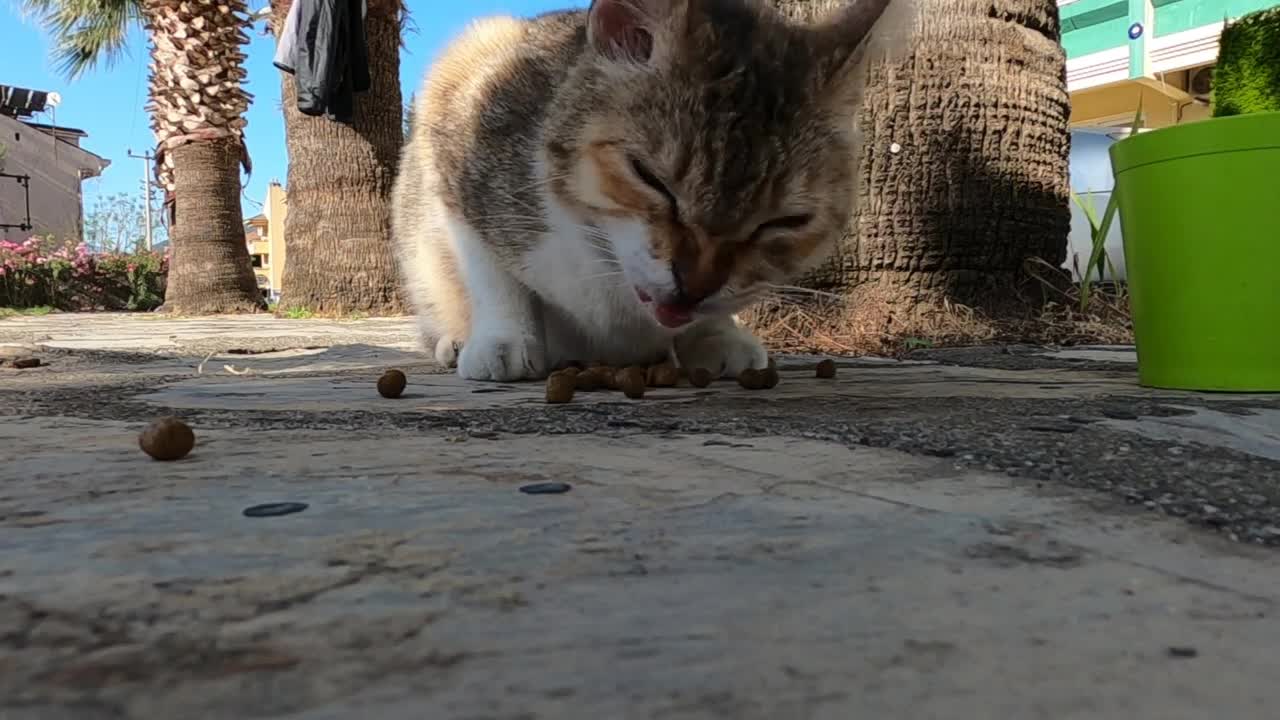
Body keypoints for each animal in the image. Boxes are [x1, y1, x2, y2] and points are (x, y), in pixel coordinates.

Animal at [394, 0, 906, 381]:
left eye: (786, 221)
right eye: (650, 177)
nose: (693, 287)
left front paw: (716, 334)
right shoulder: (463, 111)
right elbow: (485, 266)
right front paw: (504, 337)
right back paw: (454, 339)